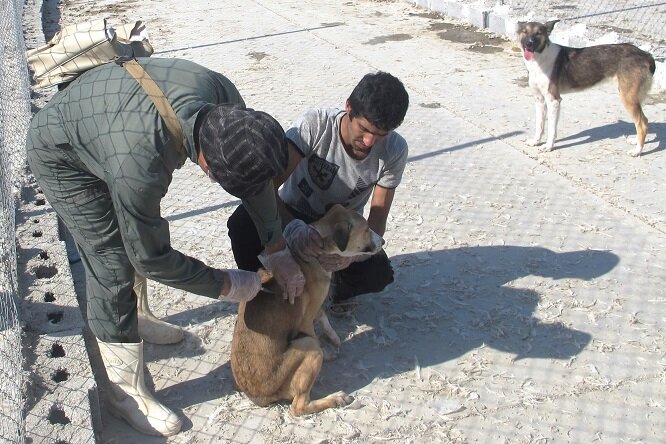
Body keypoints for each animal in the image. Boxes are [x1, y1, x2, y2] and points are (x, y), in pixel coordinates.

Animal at [230, 205, 382, 416]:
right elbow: (320, 321)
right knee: (298, 407)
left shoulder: (314, 309)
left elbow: (323, 314)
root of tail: (258, 397)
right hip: (308, 346)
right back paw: (336, 398)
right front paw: (332, 342)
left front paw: (333, 336)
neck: (315, 254)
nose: (383, 241)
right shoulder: (306, 321)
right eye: (366, 229)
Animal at [516, 20, 652, 157]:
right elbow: (540, 125)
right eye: (525, 32)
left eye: (538, 33)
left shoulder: (553, 100)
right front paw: (536, 141)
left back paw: (637, 151)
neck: (540, 58)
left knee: (642, 123)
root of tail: (645, 54)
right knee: (641, 122)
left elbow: (551, 129)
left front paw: (549, 146)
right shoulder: (539, 100)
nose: (529, 43)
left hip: (628, 98)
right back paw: (635, 141)